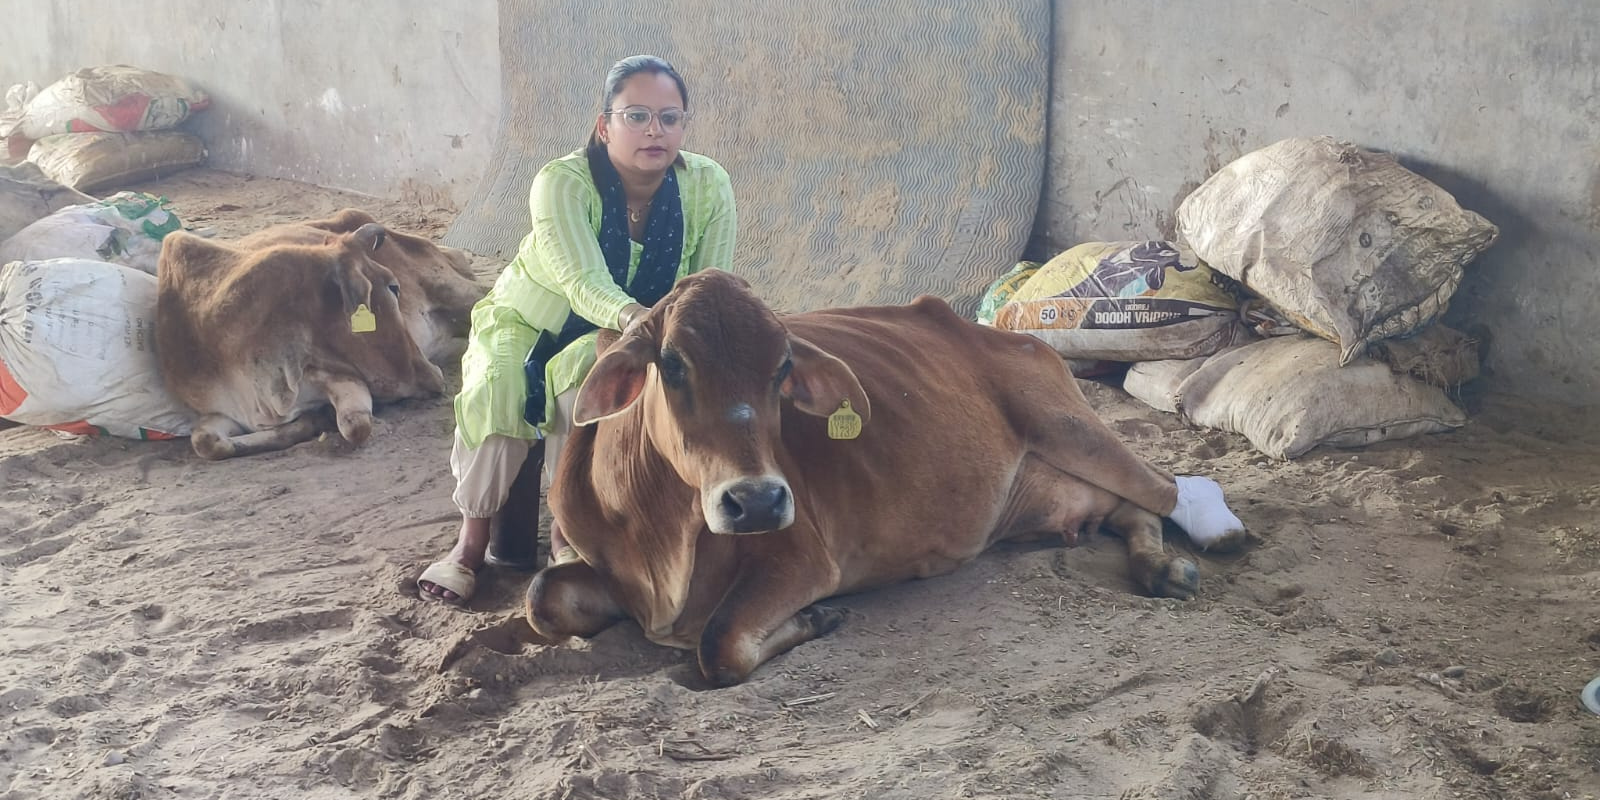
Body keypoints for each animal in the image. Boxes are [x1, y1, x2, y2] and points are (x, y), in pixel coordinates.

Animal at [155, 211, 485, 460]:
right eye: (393, 287)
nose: (432, 375)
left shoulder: (344, 378)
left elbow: (355, 425)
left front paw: (320, 418)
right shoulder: (222, 412)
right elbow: (205, 442)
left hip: (458, 292)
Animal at [525, 269, 1247, 687]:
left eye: (783, 368)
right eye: (671, 364)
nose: (755, 501)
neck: (660, 541)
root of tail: (1004, 333)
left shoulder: (803, 559)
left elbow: (718, 646)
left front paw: (816, 619)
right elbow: (541, 599)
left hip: (1068, 424)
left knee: (1165, 487)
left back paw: (1205, 541)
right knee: (1128, 508)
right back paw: (1158, 568)